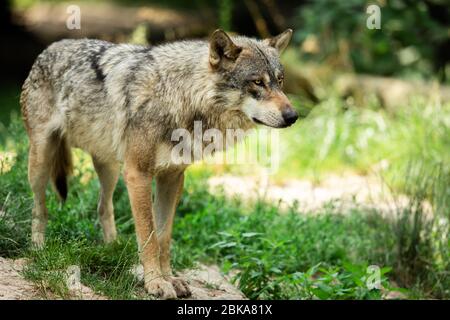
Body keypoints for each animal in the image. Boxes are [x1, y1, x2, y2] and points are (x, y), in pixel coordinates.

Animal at [21, 28, 298, 298]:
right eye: (257, 82)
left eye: (281, 80)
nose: (293, 116)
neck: (179, 96)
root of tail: (50, 48)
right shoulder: (138, 174)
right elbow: (148, 236)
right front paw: (155, 283)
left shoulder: (172, 177)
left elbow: (164, 237)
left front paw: (170, 278)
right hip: (41, 162)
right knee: (39, 206)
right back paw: (38, 248)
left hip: (110, 169)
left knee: (103, 207)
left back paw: (113, 249)